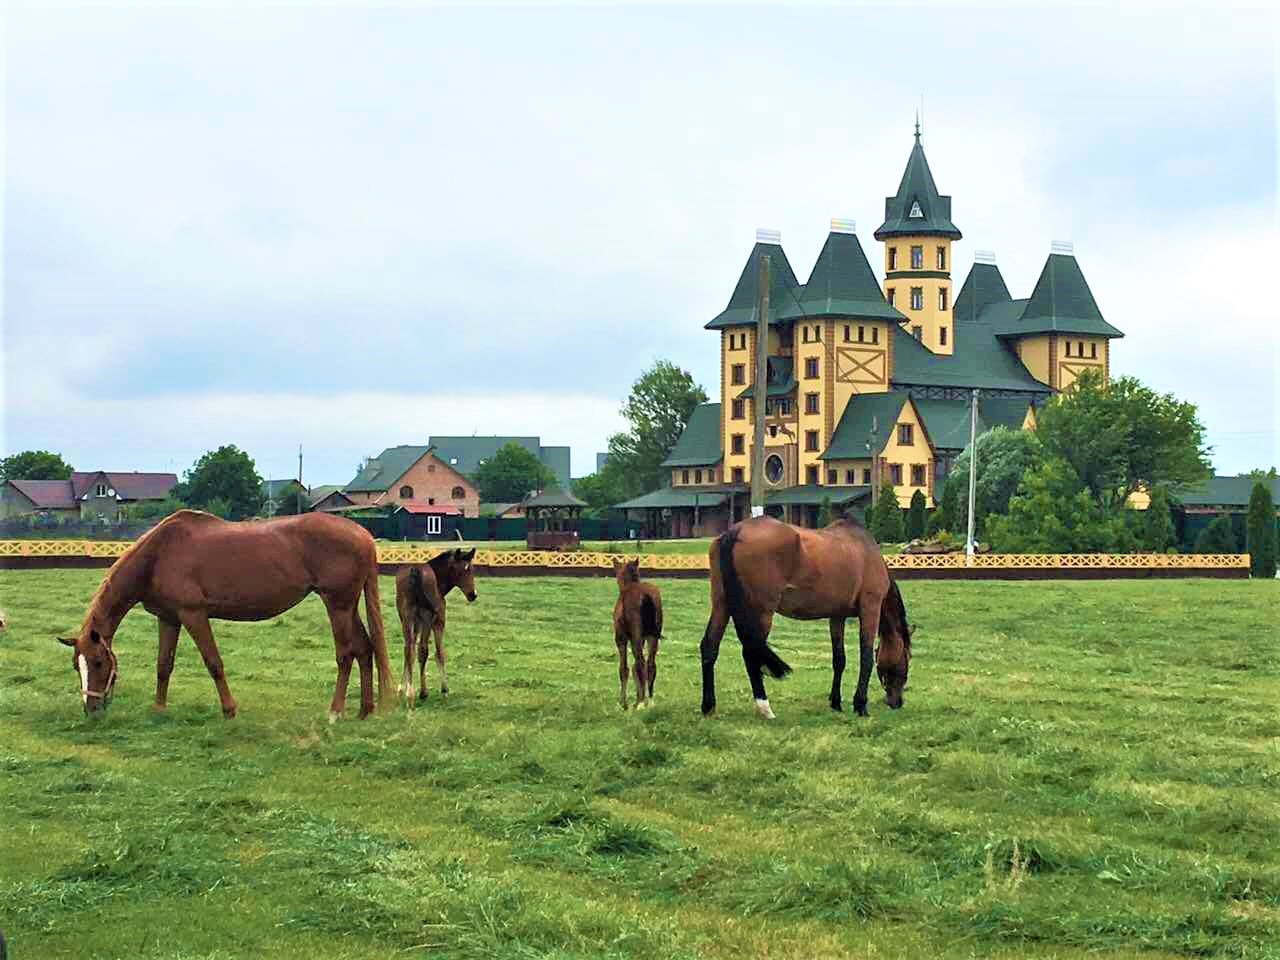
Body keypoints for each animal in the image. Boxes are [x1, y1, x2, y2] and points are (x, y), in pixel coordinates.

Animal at [56, 512, 394, 721]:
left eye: (98, 663)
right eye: (76, 665)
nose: (92, 709)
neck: (159, 554)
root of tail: (364, 535)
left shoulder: (193, 615)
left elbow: (214, 663)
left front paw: (229, 710)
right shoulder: (169, 618)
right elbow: (164, 665)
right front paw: (159, 708)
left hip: (337, 605)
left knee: (346, 654)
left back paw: (335, 711)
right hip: (347, 606)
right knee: (365, 649)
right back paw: (365, 710)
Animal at [391, 552, 478, 701]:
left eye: (471, 570)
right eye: (462, 571)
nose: (473, 594)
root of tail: (415, 570)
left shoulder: (416, 624)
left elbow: (410, 651)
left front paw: (402, 687)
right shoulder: (439, 622)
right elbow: (439, 653)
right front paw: (444, 688)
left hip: (406, 616)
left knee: (408, 648)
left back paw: (409, 691)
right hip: (427, 617)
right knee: (423, 649)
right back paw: (423, 692)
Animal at [611, 560, 665, 711]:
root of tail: (646, 596)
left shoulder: (621, 638)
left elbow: (624, 668)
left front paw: (623, 703)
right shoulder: (642, 639)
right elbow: (635, 667)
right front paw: (635, 699)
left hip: (634, 636)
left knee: (641, 662)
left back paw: (641, 703)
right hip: (652, 637)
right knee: (650, 664)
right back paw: (649, 700)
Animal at [701, 519, 911, 721]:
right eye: (906, 659)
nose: (897, 702)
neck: (867, 551)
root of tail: (735, 532)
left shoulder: (837, 616)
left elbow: (839, 659)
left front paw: (836, 703)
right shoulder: (870, 609)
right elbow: (866, 658)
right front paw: (860, 705)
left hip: (722, 605)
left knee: (709, 647)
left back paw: (708, 707)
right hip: (762, 612)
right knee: (750, 654)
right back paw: (765, 708)